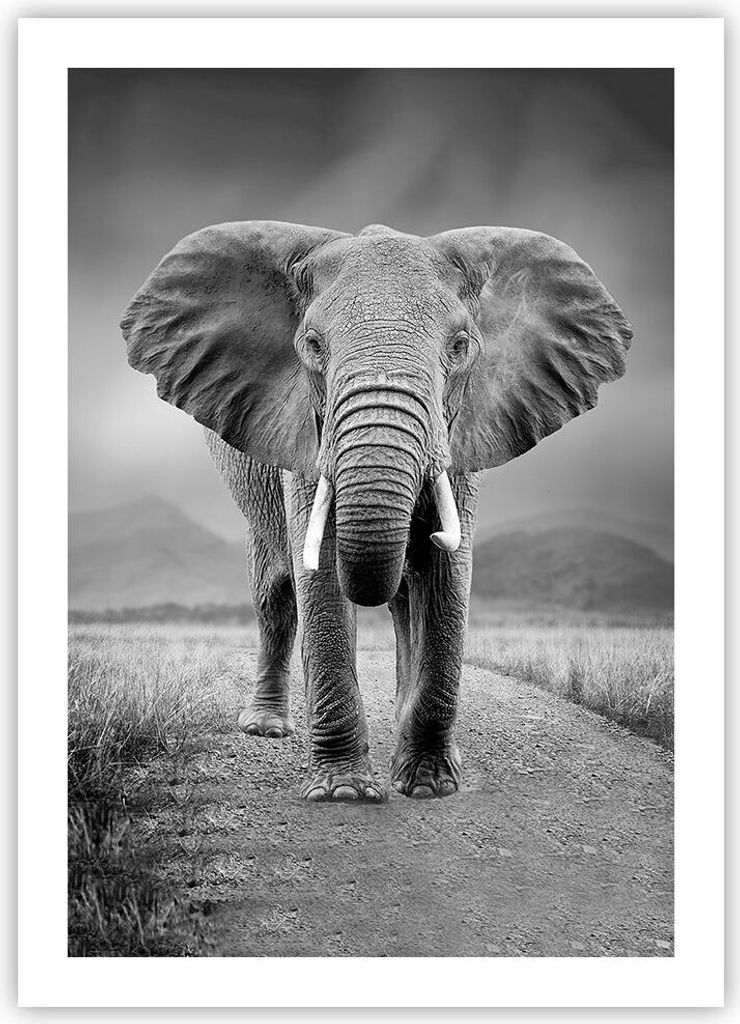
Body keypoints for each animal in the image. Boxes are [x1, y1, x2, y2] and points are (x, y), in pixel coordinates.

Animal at [121, 221, 632, 803]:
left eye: (460, 347)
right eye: (312, 346)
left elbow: (447, 575)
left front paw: (429, 785)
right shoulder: (307, 433)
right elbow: (318, 573)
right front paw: (344, 793)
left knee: (405, 598)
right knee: (274, 592)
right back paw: (266, 728)